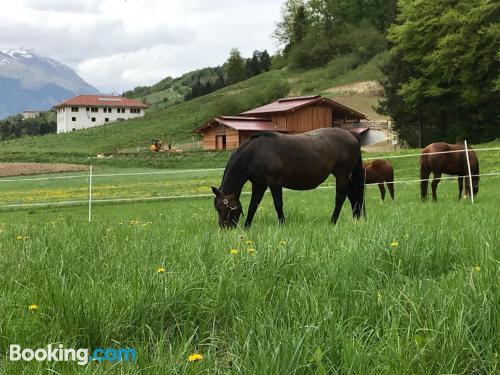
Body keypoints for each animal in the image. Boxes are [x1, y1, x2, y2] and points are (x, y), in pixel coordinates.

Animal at [209, 127, 366, 229]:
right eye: (217, 208)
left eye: (223, 208)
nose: (224, 228)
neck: (255, 153)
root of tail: (352, 134)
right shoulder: (259, 185)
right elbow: (253, 206)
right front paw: (247, 226)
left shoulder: (275, 183)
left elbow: (278, 204)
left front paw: (282, 224)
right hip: (346, 176)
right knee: (353, 195)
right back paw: (356, 218)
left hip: (342, 175)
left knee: (340, 198)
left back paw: (333, 221)